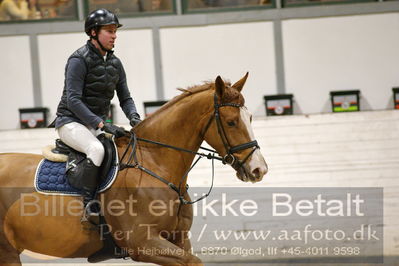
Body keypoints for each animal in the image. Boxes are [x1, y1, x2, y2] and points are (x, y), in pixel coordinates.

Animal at [1, 73, 268, 266]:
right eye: (231, 122)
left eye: (250, 118)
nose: (259, 169)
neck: (156, 163)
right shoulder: (144, 244)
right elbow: (193, 262)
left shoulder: (179, 239)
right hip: (8, 251)